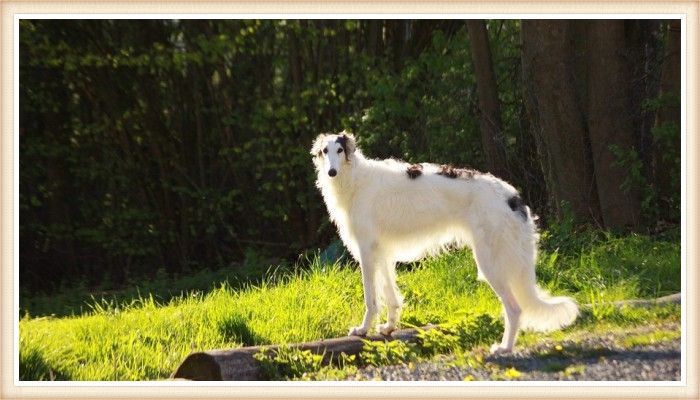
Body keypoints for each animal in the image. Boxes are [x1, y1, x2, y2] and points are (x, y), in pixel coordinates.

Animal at [312, 131, 580, 354]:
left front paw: (362, 330)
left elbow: (371, 299)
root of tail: (513, 197)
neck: (355, 180)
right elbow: (391, 297)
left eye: (340, 150)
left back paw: (504, 348)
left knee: (515, 309)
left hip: (490, 263)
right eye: (325, 151)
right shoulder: (383, 253)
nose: (331, 172)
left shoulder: (367, 251)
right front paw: (388, 328)